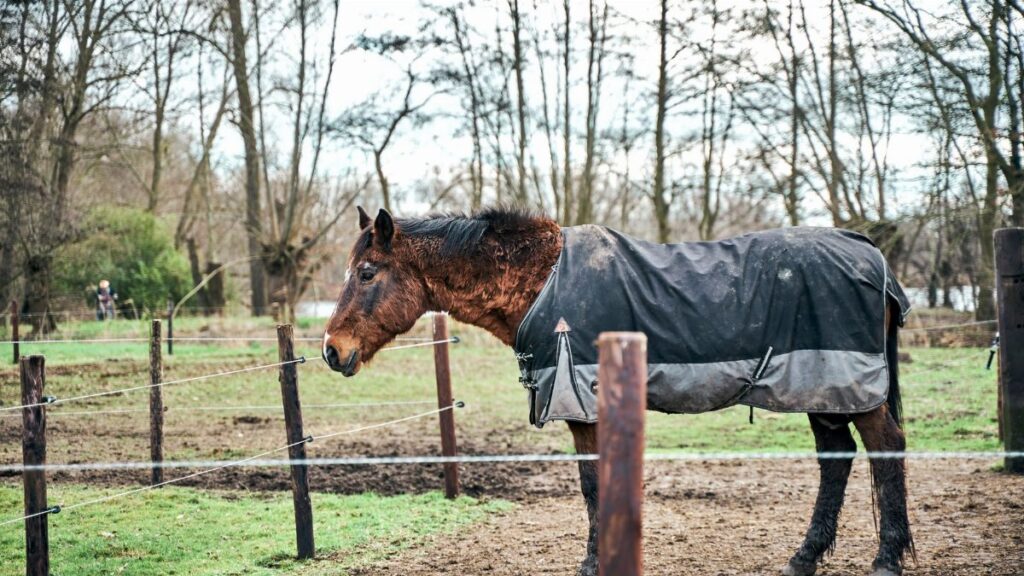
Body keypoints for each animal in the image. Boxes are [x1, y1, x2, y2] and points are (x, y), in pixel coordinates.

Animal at [322, 206, 914, 576]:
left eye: (367, 272)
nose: (331, 349)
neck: (542, 281)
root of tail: (873, 257)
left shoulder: (581, 405)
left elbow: (591, 485)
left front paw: (592, 562)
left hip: (848, 388)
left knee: (886, 450)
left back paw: (886, 559)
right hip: (824, 389)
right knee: (836, 459)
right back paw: (804, 557)